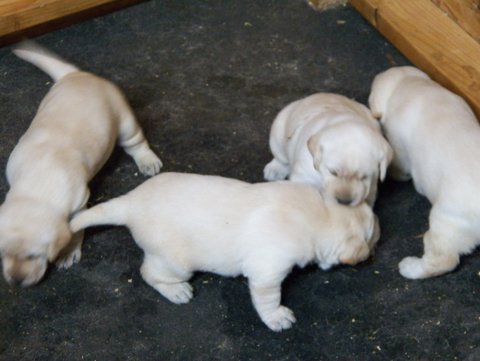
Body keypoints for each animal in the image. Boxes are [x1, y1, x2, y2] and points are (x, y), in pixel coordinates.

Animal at [0, 40, 163, 286]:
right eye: (3, 253)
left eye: (35, 255)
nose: (16, 281)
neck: (37, 183)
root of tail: (76, 74)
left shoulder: (78, 204)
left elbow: (75, 231)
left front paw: (68, 252)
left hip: (125, 123)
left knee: (137, 143)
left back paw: (147, 161)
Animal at [70, 173, 378, 330]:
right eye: (372, 235)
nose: (376, 244)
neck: (318, 213)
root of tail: (131, 202)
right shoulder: (267, 272)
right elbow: (268, 299)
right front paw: (277, 317)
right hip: (173, 262)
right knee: (149, 273)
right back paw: (176, 291)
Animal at [264, 92, 392, 205]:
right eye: (333, 172)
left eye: (364, 177)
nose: (344, 202)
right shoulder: (305, 175)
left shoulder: (372, 185)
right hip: (279, 130)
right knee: (281, 157)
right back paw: (274, 169)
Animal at [370, 65, 480, 278]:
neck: (410, 85)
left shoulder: (399, 148)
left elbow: (400, 166)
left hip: (446, 221)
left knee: (443, 259)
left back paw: (411, 268)